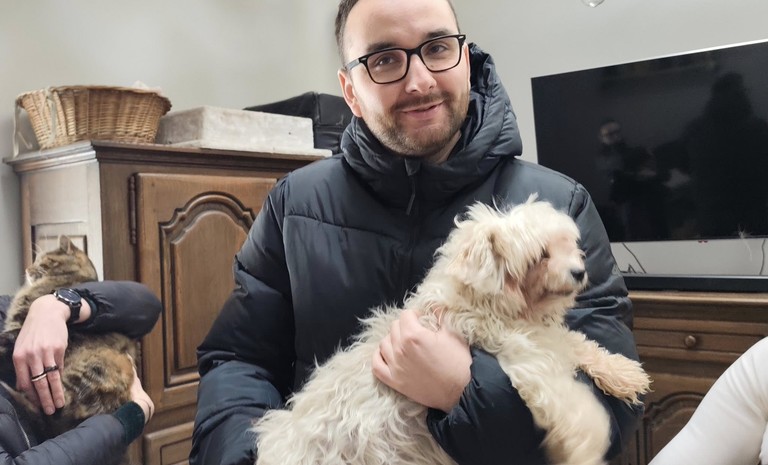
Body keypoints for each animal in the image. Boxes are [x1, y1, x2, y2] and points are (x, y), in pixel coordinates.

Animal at [253, 197, 651, 465]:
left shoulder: (548, 340)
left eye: (570, 246)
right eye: (541, 256)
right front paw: (586, 447)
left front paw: (624, 373)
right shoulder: (527, 359)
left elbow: (581, 343)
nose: (580, 272)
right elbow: (574, 405)